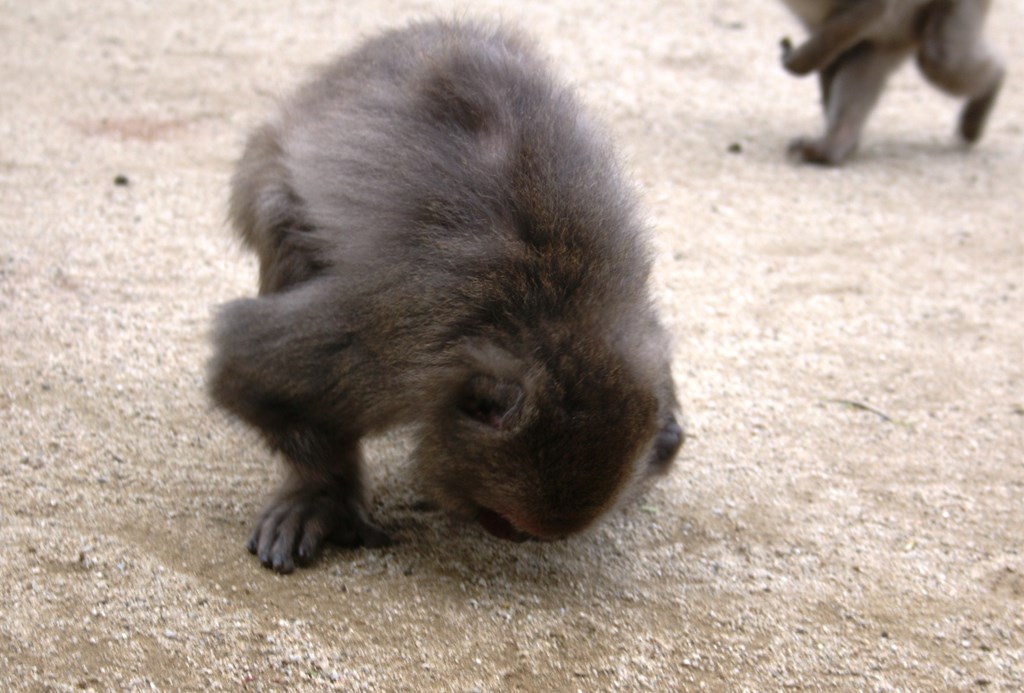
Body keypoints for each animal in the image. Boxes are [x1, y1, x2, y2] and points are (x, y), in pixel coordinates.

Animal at [207, 20, 684, 573]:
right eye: (504, 522)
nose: (512, 539)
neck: (557, 316)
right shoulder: (387, 350)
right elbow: (248, 372)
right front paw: (325, 495)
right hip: (264, 172)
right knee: (284, 225)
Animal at [778, 0, 1003, 163]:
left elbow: (874, 7)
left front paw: (799, 61)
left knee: (941, 60)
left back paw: (995, 79)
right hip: (894, 36)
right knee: (865, 56)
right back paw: (835, 144)